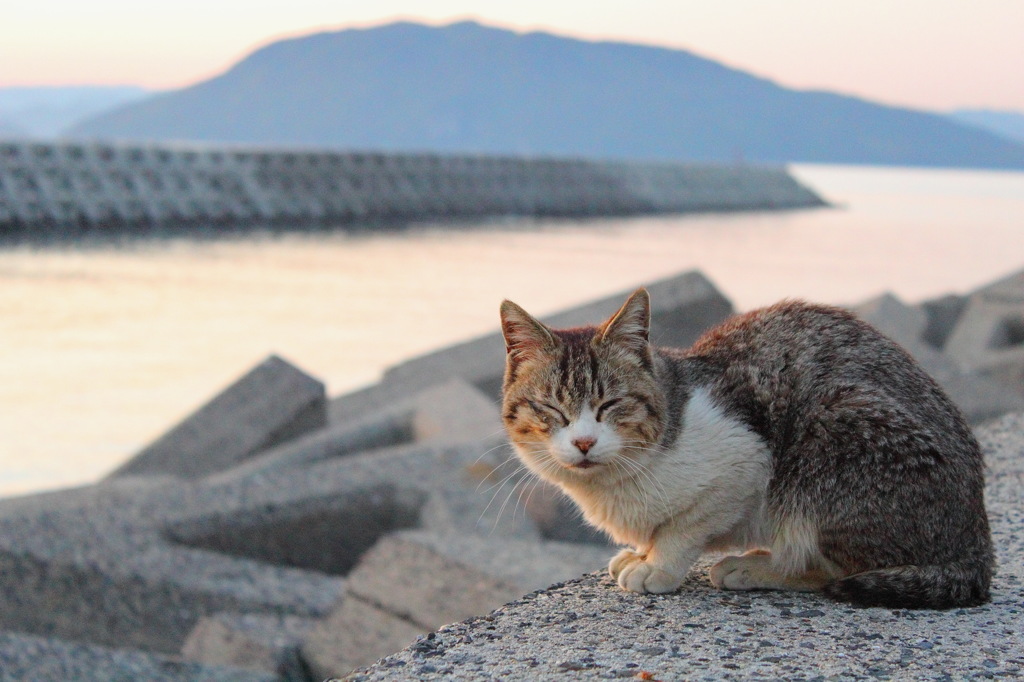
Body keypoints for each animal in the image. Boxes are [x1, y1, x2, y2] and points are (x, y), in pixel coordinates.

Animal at [499, 286, 995, 606]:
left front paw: (658, 564)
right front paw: (640, 553)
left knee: (837, 570)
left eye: (610, 405)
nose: (584, 441)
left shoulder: (745, 464)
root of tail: (976, 539)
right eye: (551, 409)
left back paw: (756, 566)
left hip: (832, 434)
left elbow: (684, 526)